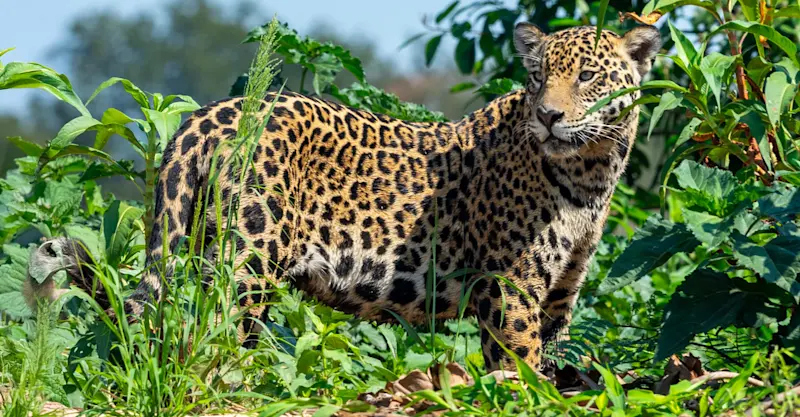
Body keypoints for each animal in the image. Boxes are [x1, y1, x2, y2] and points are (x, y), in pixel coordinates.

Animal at [25, 23, 661, 371]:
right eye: (538, 78)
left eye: (587, 78)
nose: (548, 116)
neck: (589, 176)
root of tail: (206, 116)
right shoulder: (510, 290)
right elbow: (519, 370)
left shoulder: (559, 299)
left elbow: (549, 368)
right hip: (244, 264)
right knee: (209, 340)